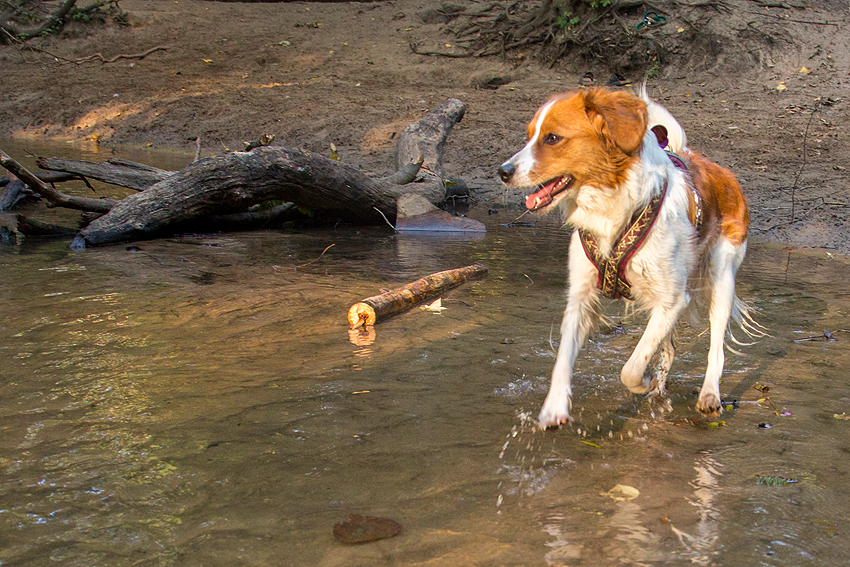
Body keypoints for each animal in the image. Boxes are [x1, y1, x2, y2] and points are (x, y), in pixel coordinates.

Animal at [494, 86, 760, 428]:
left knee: (716, 344)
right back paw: (660, 390)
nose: (503, 172)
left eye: (552, 138)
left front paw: (641, 382)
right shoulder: (581, 297)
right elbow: (563, 359)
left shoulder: (672, 299)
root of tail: (720, 171)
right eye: (529, 136)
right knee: (669, 348)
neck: (610, 205)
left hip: (721, 276)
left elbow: (631, 367)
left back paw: (709, 394)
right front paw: (554, 408)